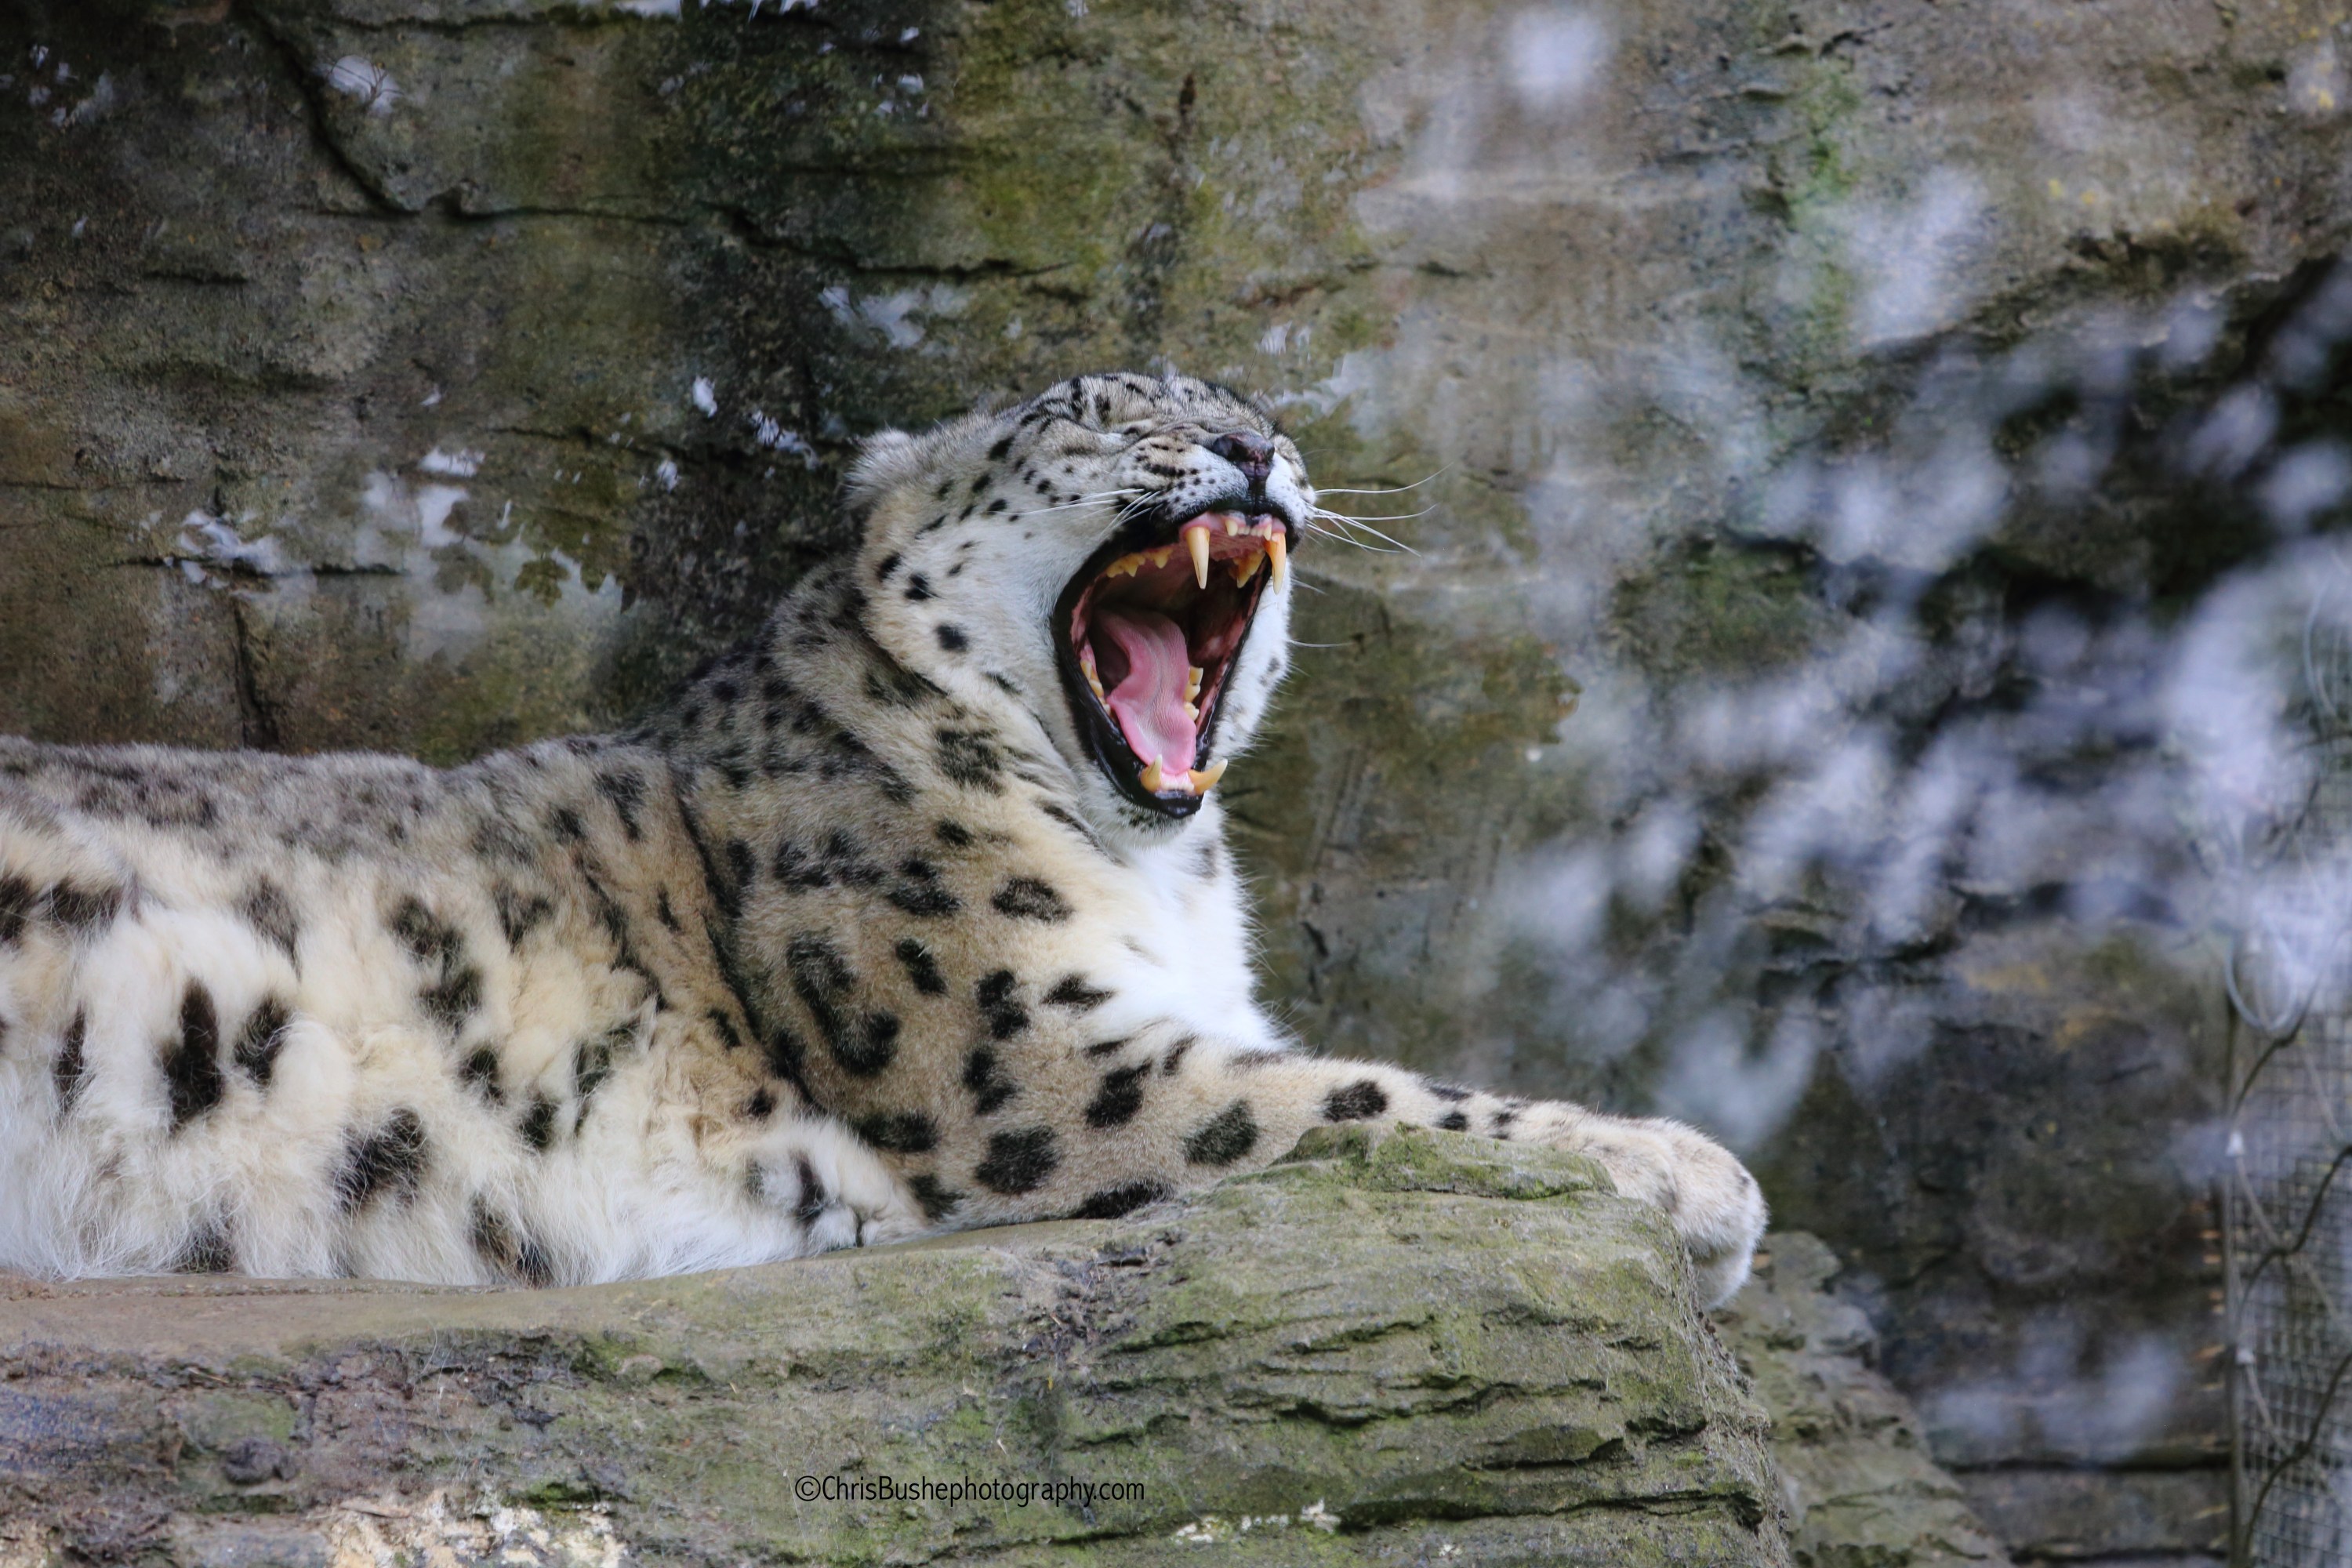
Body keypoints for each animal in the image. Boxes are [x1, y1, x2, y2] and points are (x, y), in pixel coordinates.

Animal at [0, 371, 1765, 1305]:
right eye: (1102, 415)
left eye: (1253, 410)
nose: (1258, 449)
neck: (1160, 870)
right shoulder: (1030, 1060)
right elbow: (1362, 1093)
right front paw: (1691, 1172)